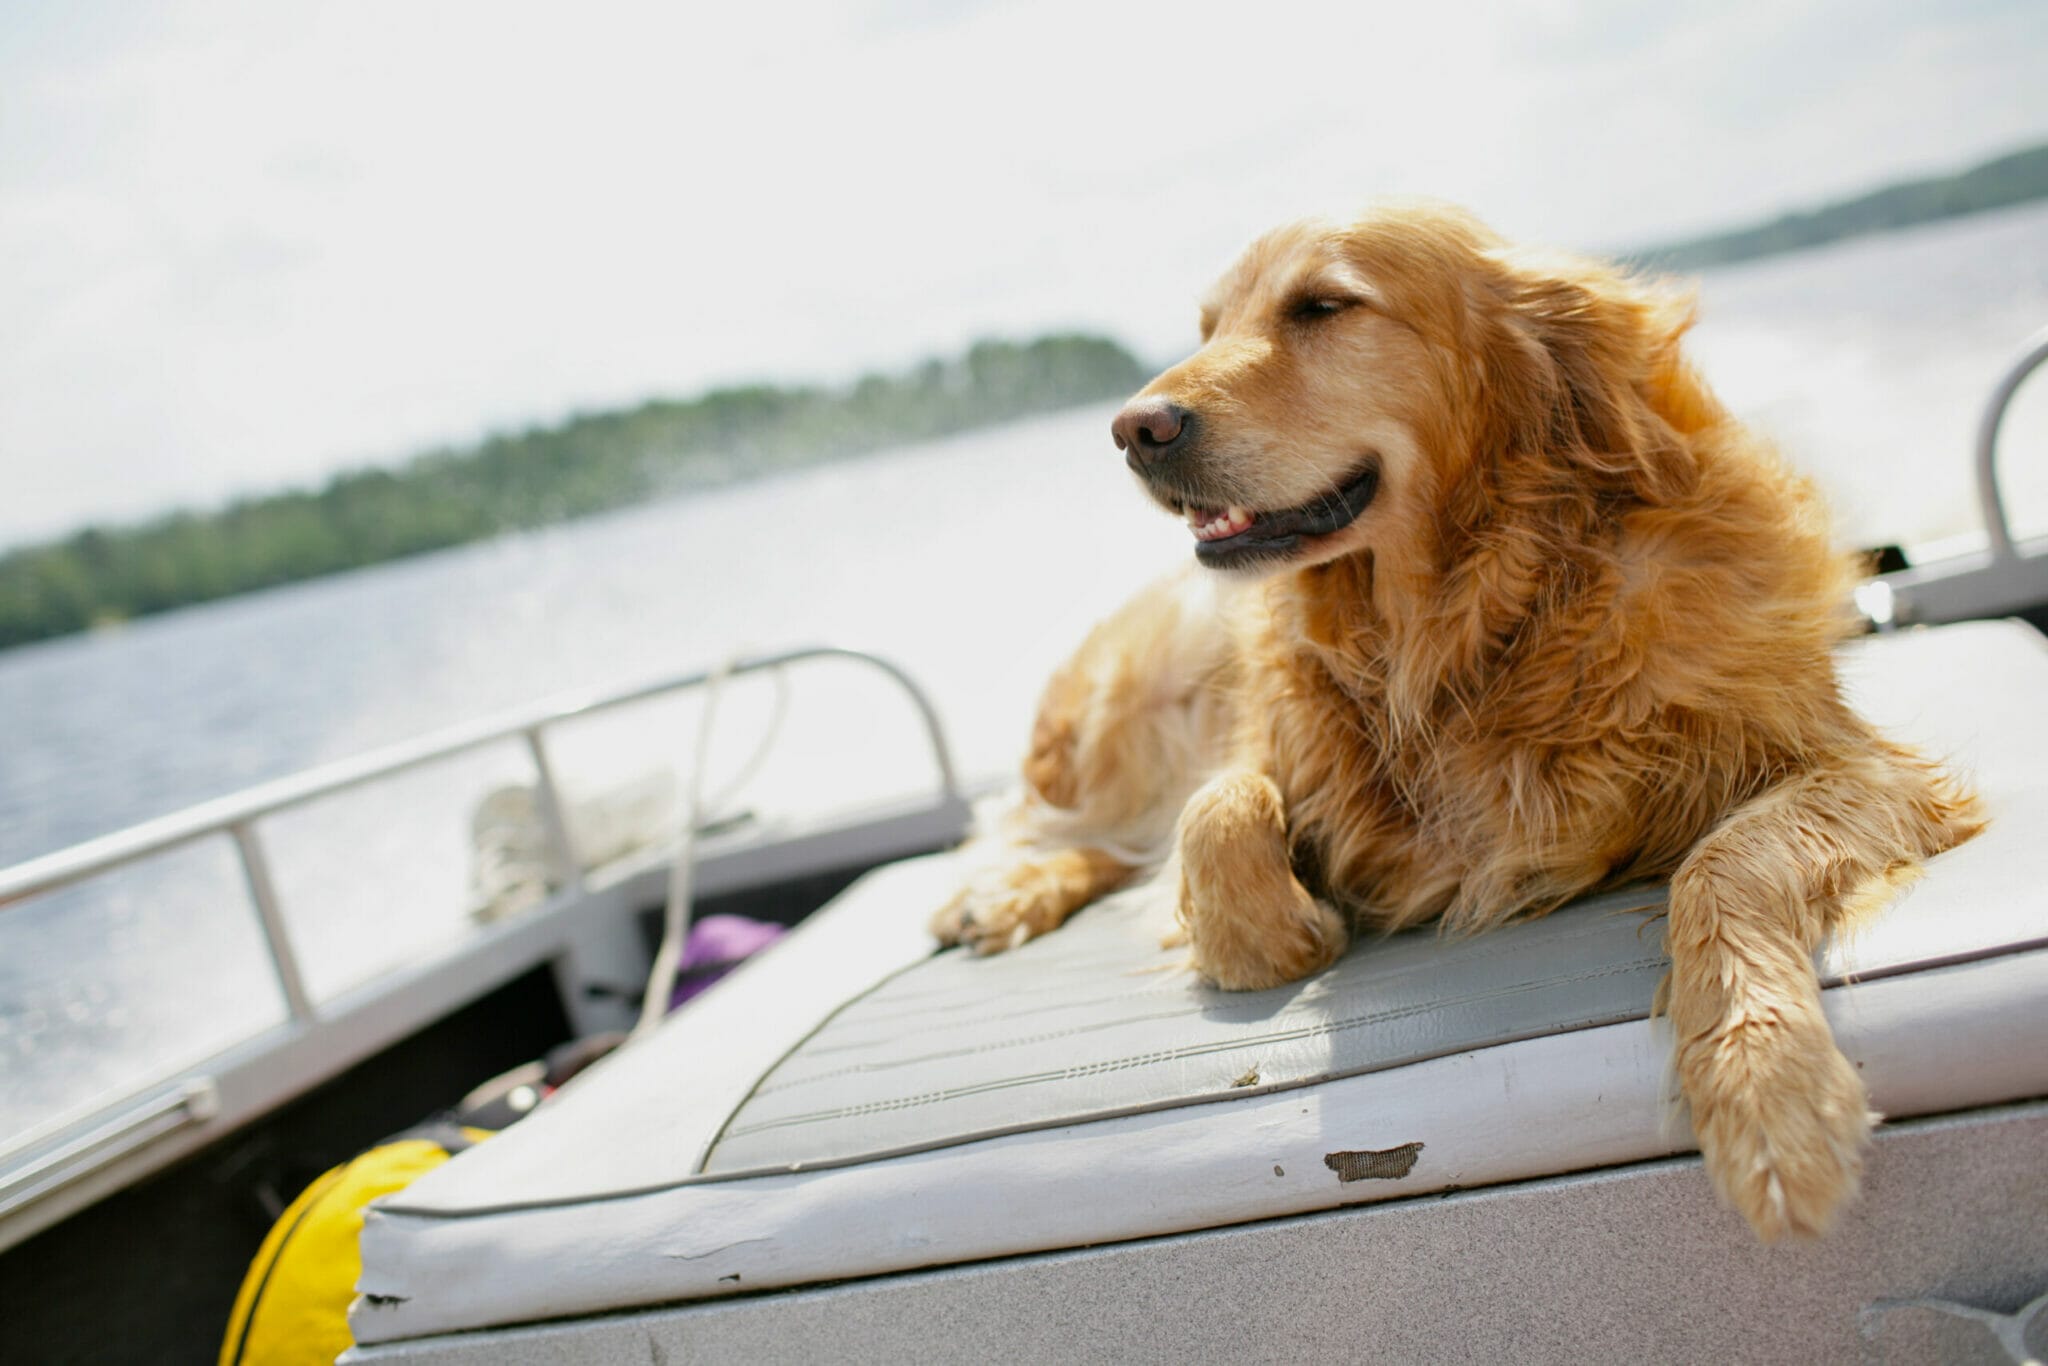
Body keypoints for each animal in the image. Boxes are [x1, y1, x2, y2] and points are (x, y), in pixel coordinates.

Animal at [937, 200, 1982, 1236]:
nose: (1132, 429)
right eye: (1208, 326)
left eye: (1323, 306)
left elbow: (1726, 863)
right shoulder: (1274, 745)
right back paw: (997, 895)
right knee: (1083, 825)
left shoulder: (1851, 763)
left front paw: (1770, 1093)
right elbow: (1218, 818)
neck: (1471, 622)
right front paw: (1292, 930)